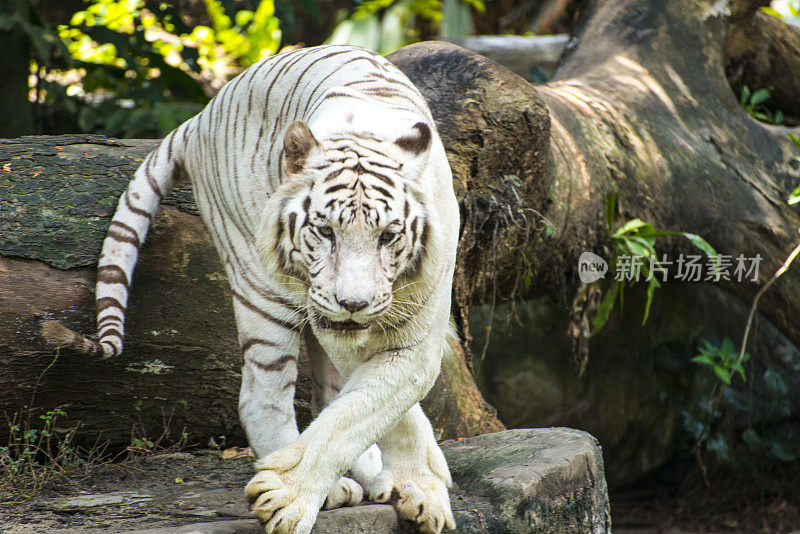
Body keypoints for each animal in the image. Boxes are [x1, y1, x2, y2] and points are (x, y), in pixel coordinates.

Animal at [43, 44, 456, 532]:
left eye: (388, 236)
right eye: (325, 231)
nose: (352, 303)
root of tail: (202, 116)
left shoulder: (414, 332)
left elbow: (370, 406)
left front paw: (422, 487)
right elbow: (369, 412)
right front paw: (288, 496)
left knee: (328, 393)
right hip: (260, 287)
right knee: (261, 397)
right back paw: (330, 484)